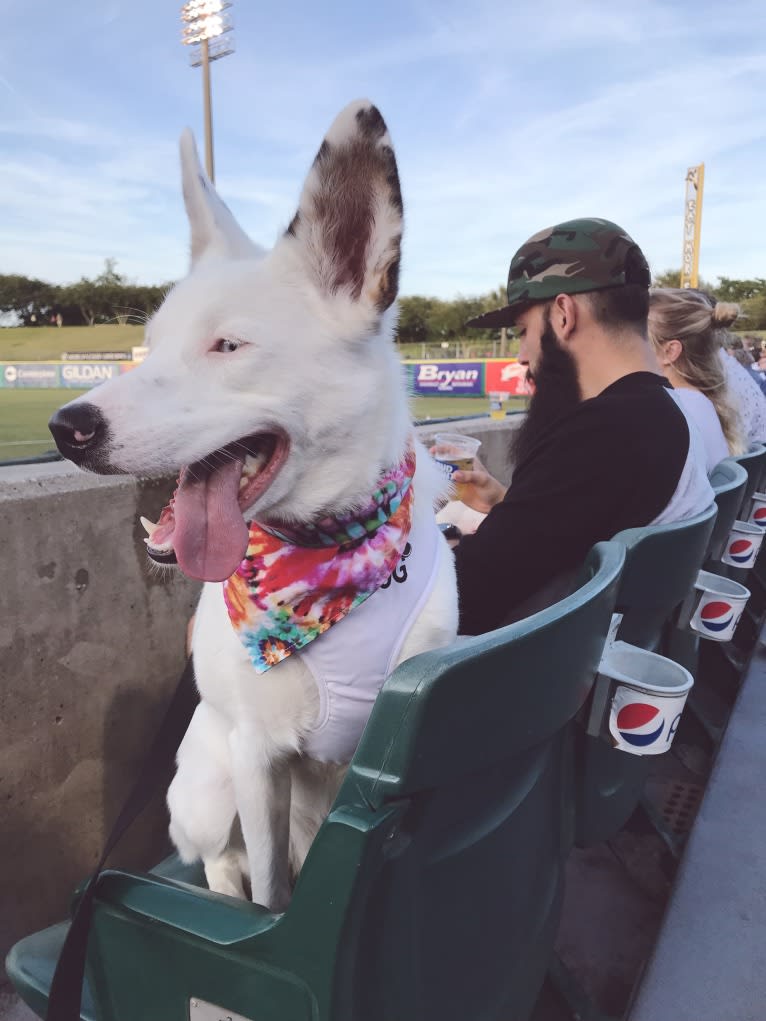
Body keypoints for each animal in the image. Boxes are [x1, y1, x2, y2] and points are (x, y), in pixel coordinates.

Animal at [51, 101, 459, 910]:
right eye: (149, 345)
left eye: (227, 346)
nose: (66, 427)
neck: (326, 556)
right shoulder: (255, 758)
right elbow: (271, 892)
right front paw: (260, 923)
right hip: (208, 786)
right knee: (220, 860)